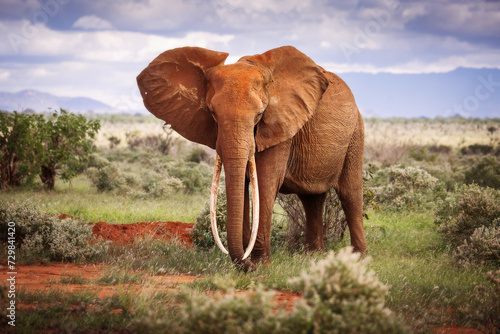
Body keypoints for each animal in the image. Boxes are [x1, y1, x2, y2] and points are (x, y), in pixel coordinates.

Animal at [137, 45, 368, 272]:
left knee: (350, 193)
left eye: (259, 115)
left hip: (355, 134)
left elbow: (265, 183)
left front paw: (261, 265)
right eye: (213, 113)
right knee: (313, 198)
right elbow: (242, 185)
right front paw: (250, 262)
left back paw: (358, 259)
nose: (246, 264)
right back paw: (314, 256)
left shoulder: (281, 126)